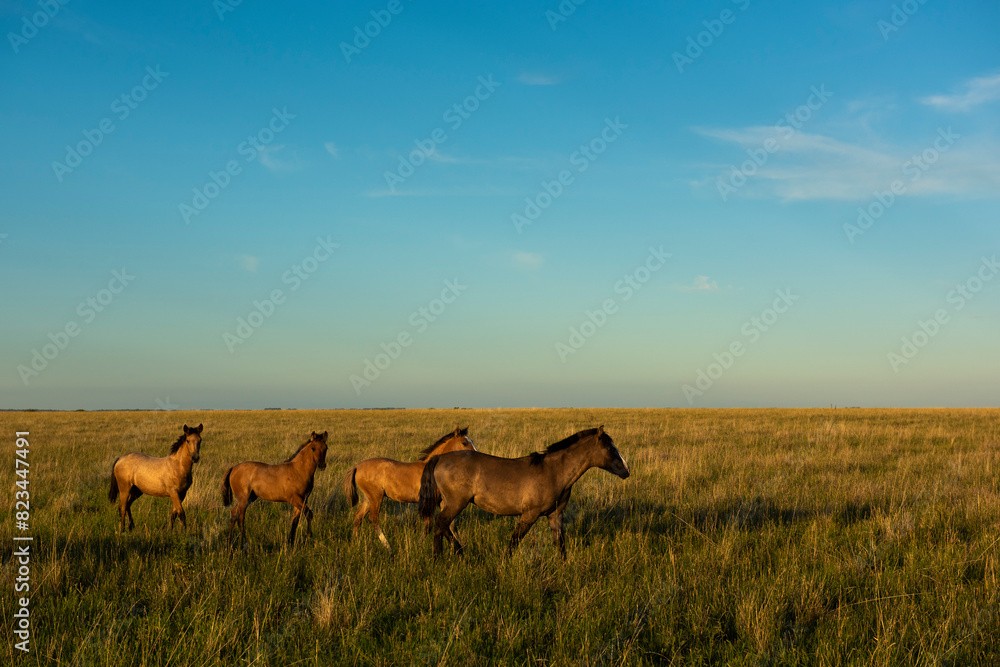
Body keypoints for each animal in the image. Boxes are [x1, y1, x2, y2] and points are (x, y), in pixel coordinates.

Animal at [343, 426, 476, 552]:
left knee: (358, 517)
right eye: (464, 442)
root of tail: (357, 466)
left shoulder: (441, 501)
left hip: (369, 499)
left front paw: (462, 547)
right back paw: (389, 548)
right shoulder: (428, 502)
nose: (477, 454)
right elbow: (428, 527)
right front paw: (417, 546)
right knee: (373, 519)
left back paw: (355, 542)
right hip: (376, 497)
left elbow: (452, 525)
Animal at [418, 426, 629, 558]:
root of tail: (440, 458)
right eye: (610, 448)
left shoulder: (555, 515)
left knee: (445, 525)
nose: (626, 470)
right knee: (441, 523)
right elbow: (515, 541)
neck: (553, 471)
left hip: (449, 504)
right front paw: (504, 563)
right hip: (456, 503)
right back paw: (438, 558)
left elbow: (560, 544)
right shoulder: (530, 515)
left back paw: (459, 553)